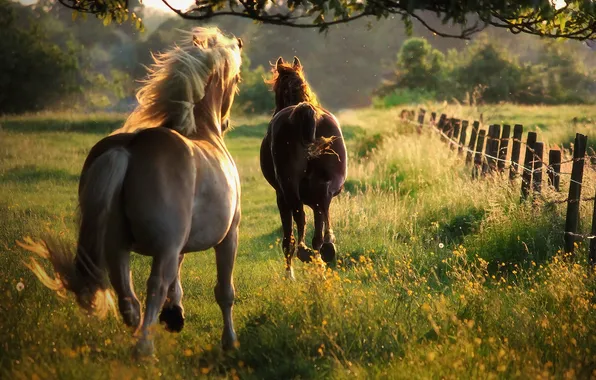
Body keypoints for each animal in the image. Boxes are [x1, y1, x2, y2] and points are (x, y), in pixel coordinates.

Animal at [19, 27, 242, 356]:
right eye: (236, 80)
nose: (225, 122)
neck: (203, 132)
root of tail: (128, 148)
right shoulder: (228, 236)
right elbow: (224, 291)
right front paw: (229, 341)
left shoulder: (179, 243)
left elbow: (179, 279)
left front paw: (175, 315)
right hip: (161, 248)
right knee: (154, 286)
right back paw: (144, 347)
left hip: (117, 246)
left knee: (127, 295)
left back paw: (139, 330)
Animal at [258, 55, 346, 280]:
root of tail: (305, 111)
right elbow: (321, 217)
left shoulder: (280, 196)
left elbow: (288, 235)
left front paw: (289, 274)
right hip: (326, 185)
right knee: (321, 212)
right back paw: (324, 253)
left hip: (288, 189)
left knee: (300, 218)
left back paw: (303, 255)